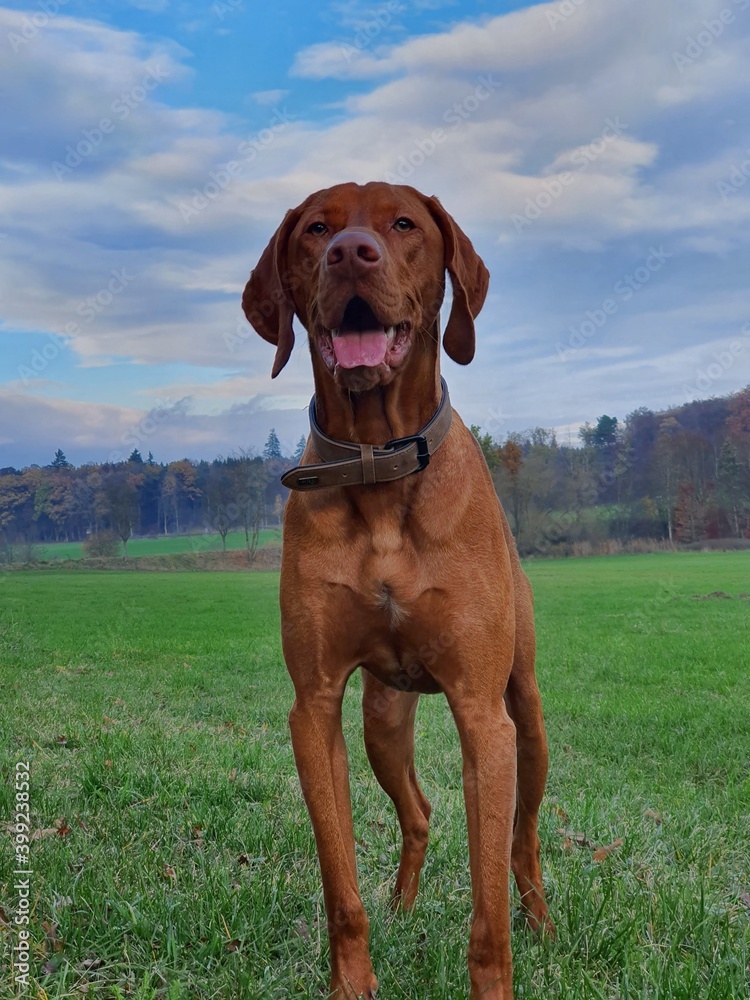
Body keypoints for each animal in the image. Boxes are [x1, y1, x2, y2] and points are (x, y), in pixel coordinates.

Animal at [244, 182, 556, 1000]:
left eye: (405, 223)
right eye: (316, 227)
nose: (350, 253)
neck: (377, 462)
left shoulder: (482, 714)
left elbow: (488, 912)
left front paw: (495, 980)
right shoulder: (315, 706)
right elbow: (339, 887)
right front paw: (353, 981)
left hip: (527, 717)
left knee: (523, 840)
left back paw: (542, 920)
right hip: (383, 720)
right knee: (418, 812)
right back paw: (403, 905)